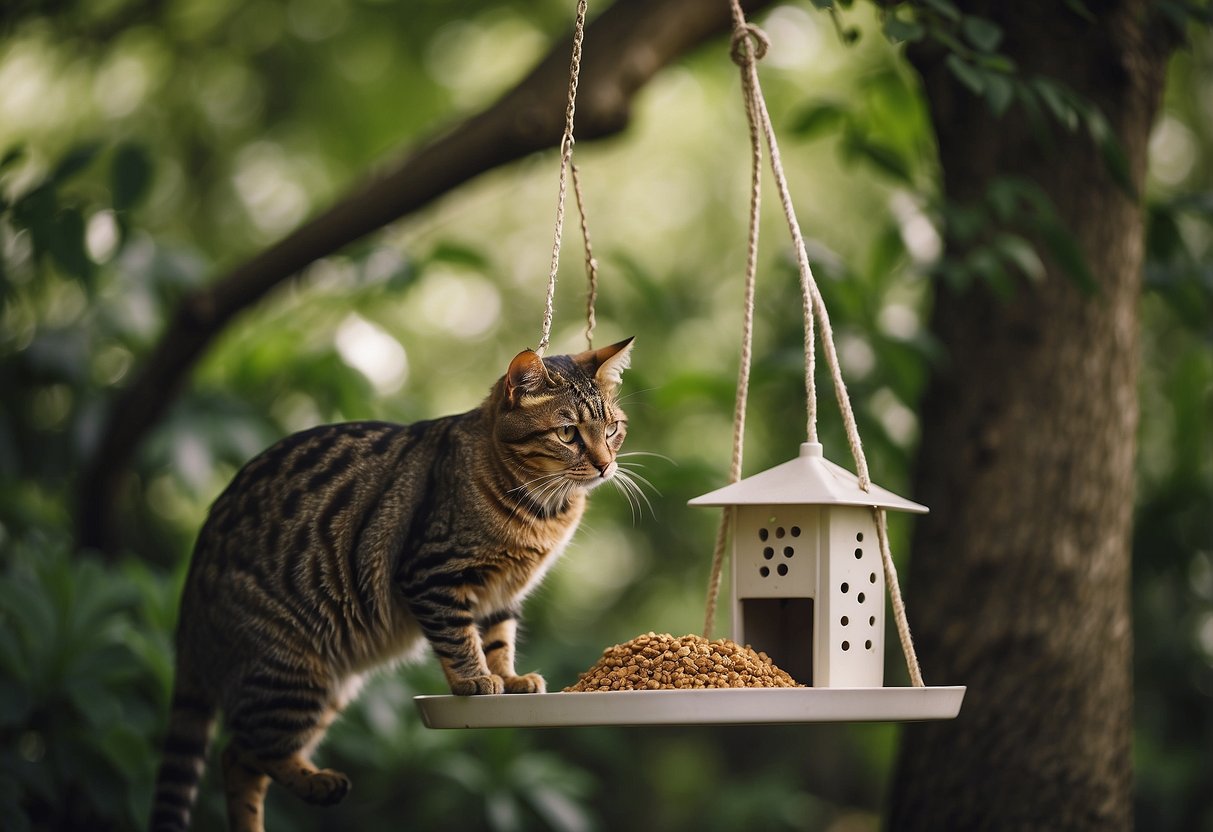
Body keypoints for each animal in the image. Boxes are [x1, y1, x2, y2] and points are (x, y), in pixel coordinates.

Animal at [151, 339, 635, 832]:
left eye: (612, 428)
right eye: (568, 434)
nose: (605, 466)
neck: (542, 510)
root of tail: (190, 607)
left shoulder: (502, 593)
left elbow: (499, 638)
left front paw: (508, 678)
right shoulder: (431, 573)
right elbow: (460, 638)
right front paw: (476, 679)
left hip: (325, 686)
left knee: (245, 759)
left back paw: (304, 793)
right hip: (290, 670)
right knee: (244, 749)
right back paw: (319, 784)